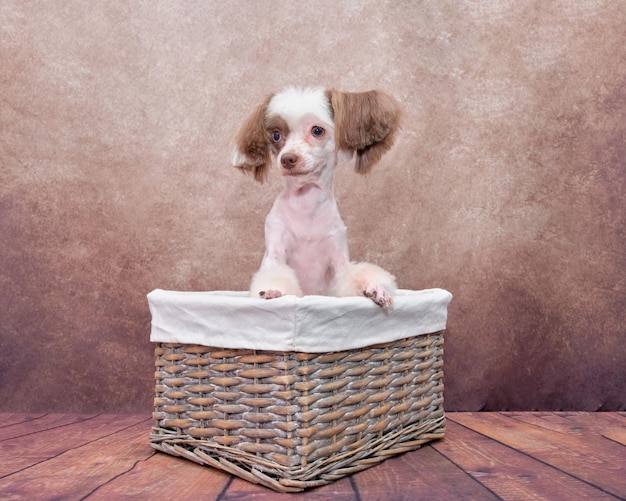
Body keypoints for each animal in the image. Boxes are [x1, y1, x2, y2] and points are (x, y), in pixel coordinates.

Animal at [229, 88, 400, 306]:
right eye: (276, 135)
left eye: (317, 130)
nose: (287, 159)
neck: (306, 204)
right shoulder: (275, 248)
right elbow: (274, 273)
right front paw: (273, 289)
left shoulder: (338, 255)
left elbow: (353, 274)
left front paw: (374, 287)